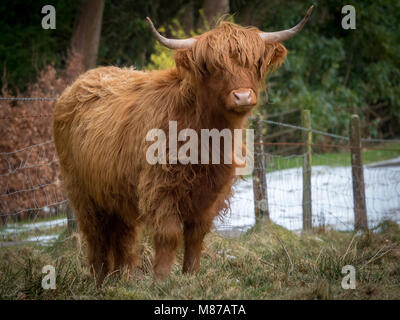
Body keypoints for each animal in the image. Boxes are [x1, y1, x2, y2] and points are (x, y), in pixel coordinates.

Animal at [52, 6, 312, 282]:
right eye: (215, 66)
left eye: (254, 63)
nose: (242, 96)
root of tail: (82, 80)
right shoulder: (160, 187)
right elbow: (169, 235)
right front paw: (162, 280)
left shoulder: (212, 193)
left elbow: (196, 235)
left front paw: (191, 275)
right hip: (82, 192)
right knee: (96, 236)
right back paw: (100, 279)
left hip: (115, 193)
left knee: (123, 235)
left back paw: (122, 278)